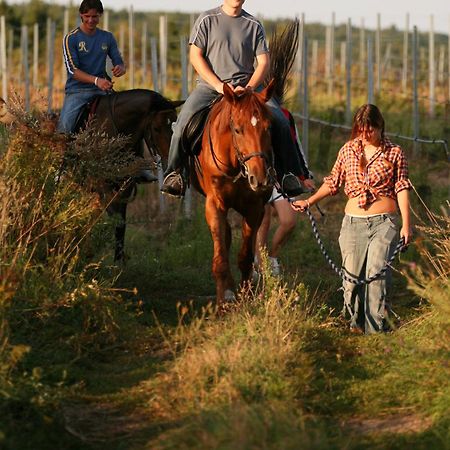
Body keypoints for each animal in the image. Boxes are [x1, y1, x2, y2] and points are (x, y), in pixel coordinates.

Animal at [190, 82, 274, 304]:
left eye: (268, 127)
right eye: (237, 130)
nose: (259, 178)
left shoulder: (254, 208)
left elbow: (245, 258)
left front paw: (247, 298)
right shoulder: (214, 205)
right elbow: (220, 259)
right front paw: (223, 299)